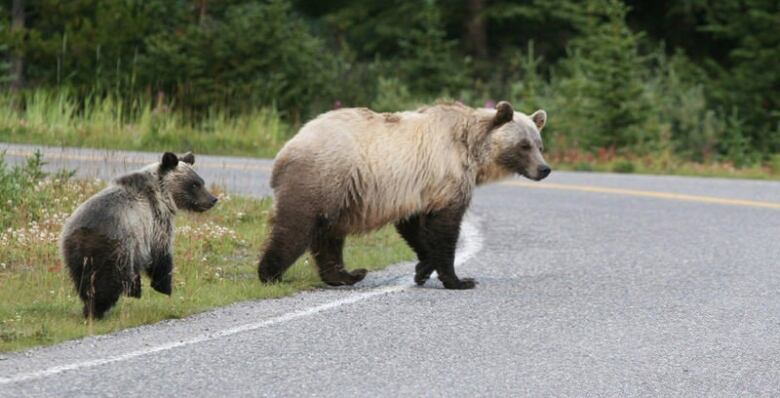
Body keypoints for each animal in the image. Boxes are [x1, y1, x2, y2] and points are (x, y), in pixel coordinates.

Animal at [258, 102, 548, 290]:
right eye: (524, 145)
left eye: (540, 145)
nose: (544, 169)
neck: (471, 148)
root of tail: (287, 148)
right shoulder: (445, 177)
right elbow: (444, 228)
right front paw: (460, 280)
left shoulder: (418, 188)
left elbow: (415, 226)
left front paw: (423, 269)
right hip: (323, 177)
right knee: (296, 227)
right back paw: (271, 274)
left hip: (339, 194)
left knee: (329, 236)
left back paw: (346, 275)